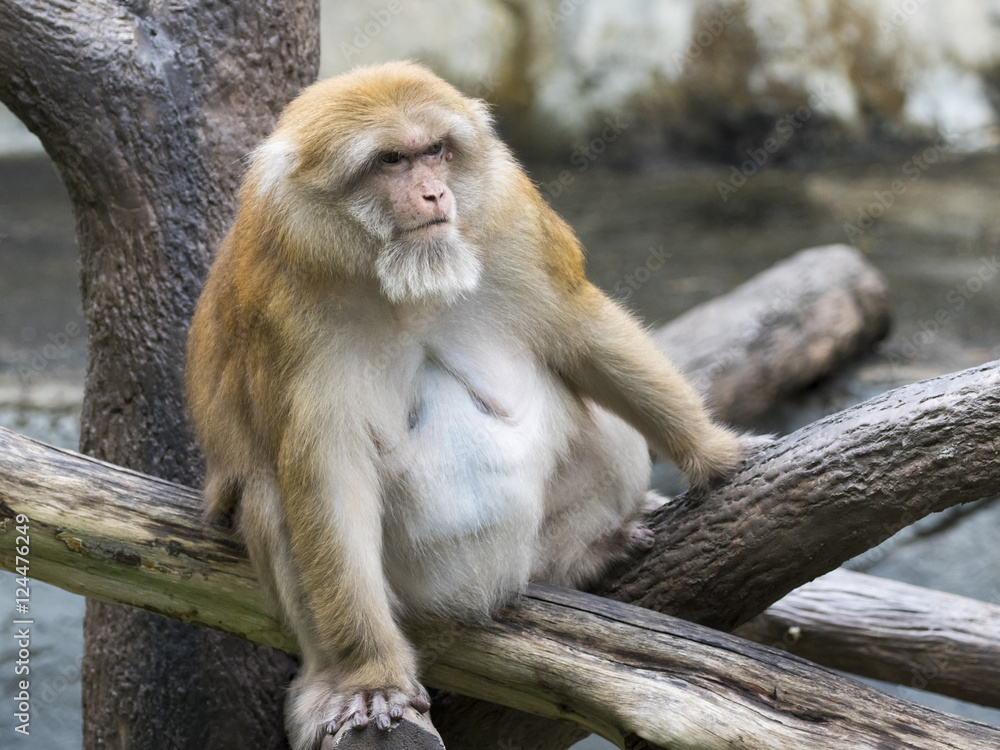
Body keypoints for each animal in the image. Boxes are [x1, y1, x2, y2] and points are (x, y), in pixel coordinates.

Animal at [186, 60, 752, 750]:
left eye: (436, 151)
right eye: (391, 160)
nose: (434, 194)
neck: (396, 273)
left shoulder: (512, 216)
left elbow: (578, 327)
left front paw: (713, 453)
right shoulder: (281, 302)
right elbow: (327, 474)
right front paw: (369, 673)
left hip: (533, 550)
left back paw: (586, 554)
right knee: (269, 495)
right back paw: (328, 679)